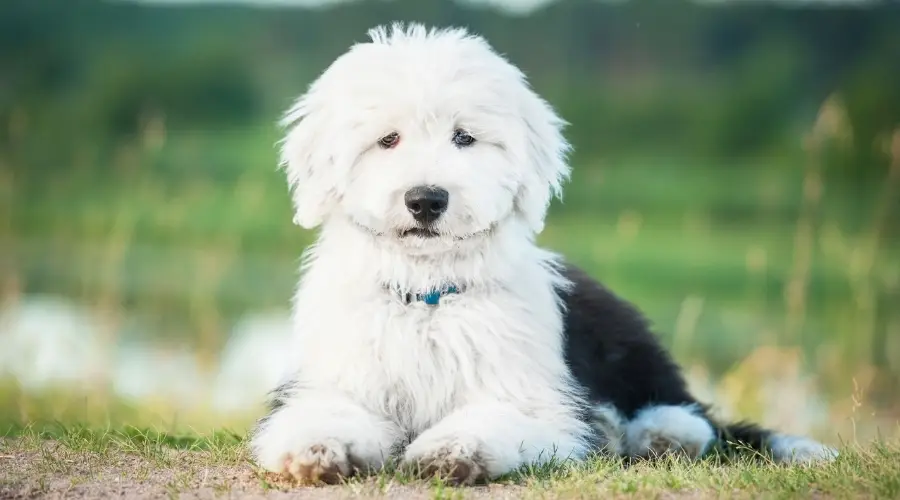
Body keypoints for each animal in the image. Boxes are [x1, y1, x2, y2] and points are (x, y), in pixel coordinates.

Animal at [248, 23, 836, 484]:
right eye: (387, 139)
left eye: (465, 138)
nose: (426, 200)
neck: (429, 297)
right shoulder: (333, 379)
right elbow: (320, 413)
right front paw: (319, 450)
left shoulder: (529, 395)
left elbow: (498, 418)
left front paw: (452, 450)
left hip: (627, 342)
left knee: (693, 415)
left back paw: (654, 434)